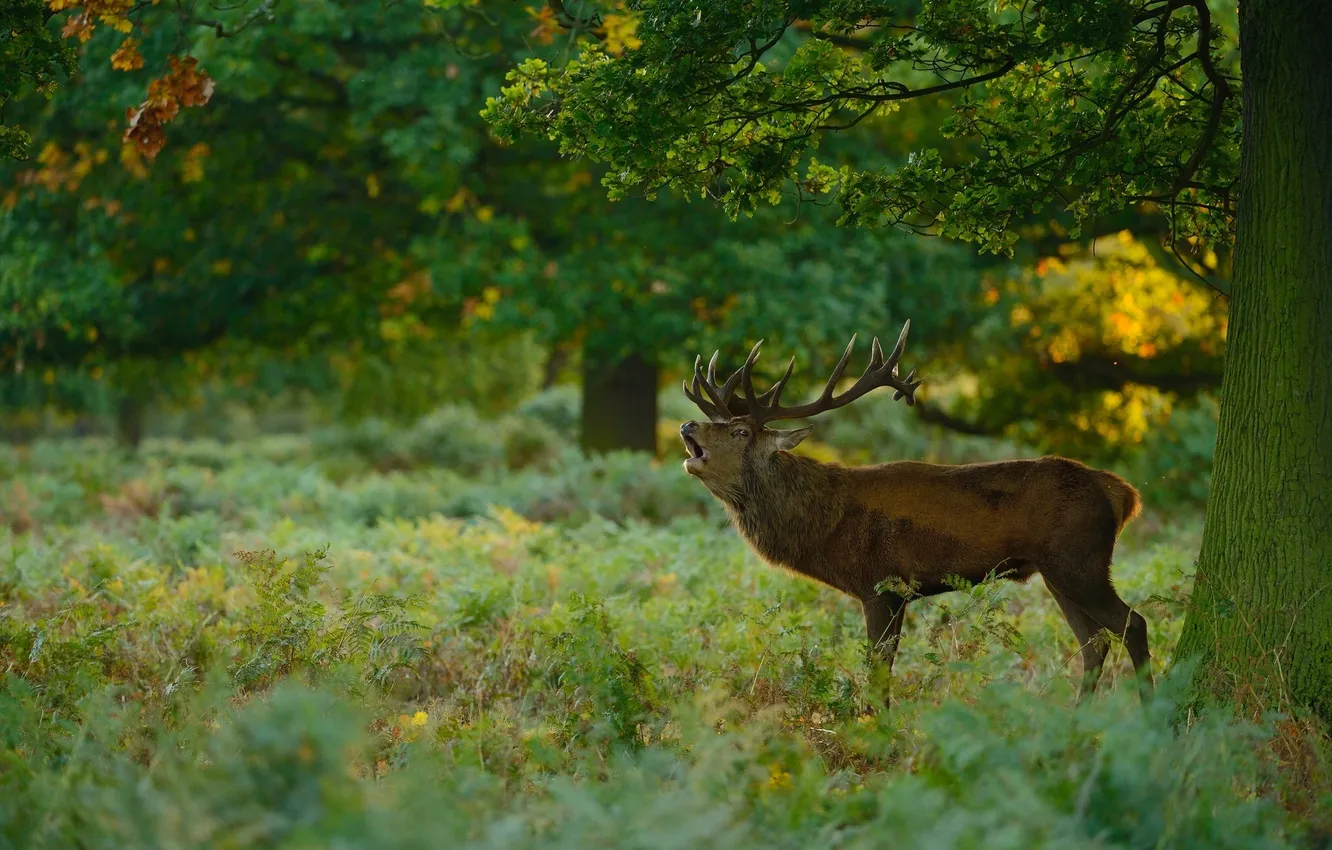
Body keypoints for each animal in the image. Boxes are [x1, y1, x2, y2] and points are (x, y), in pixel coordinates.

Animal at [678, 320, 1152, 706]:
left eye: (741, 431)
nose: (687, 425)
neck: (826, 525)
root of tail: (1123, 493)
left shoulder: (882, 584)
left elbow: (878, 673)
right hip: (1058, 573)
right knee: (1094, 642)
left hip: (1080, 562)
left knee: (1133, 624)